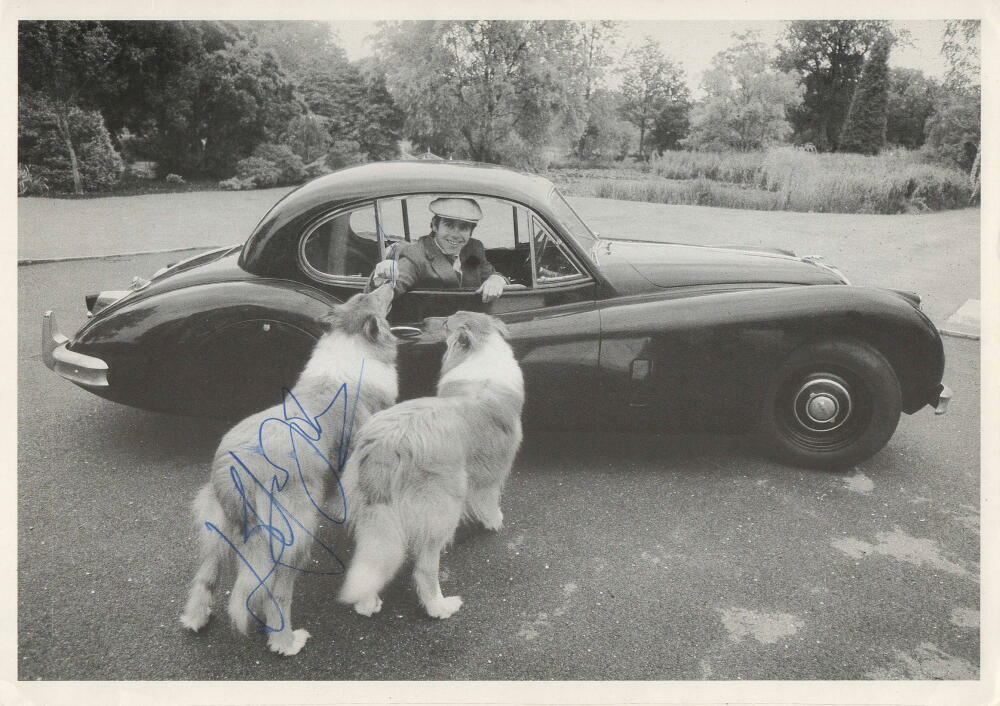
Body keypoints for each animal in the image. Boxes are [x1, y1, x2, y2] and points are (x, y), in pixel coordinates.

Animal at [180, 282, 398, 656]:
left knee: (206, 574)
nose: (388, 281)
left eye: (361, 296)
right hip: (294, 531)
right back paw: (285, 641)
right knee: (277, 592)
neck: (352, 340)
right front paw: (368, 601)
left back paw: (196, 619)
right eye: (373, 299)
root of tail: (236, 467)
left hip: (219, 523)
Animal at [336, 310, 524, 620]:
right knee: (424, 570)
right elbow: (488, 501)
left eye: (448, 320)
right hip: (442, 511)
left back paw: (366, 604)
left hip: (372, 514)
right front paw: (494, 521)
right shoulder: (491, 473)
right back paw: (441, 607)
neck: (481, 349)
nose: (425, 321)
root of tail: (386, 446)